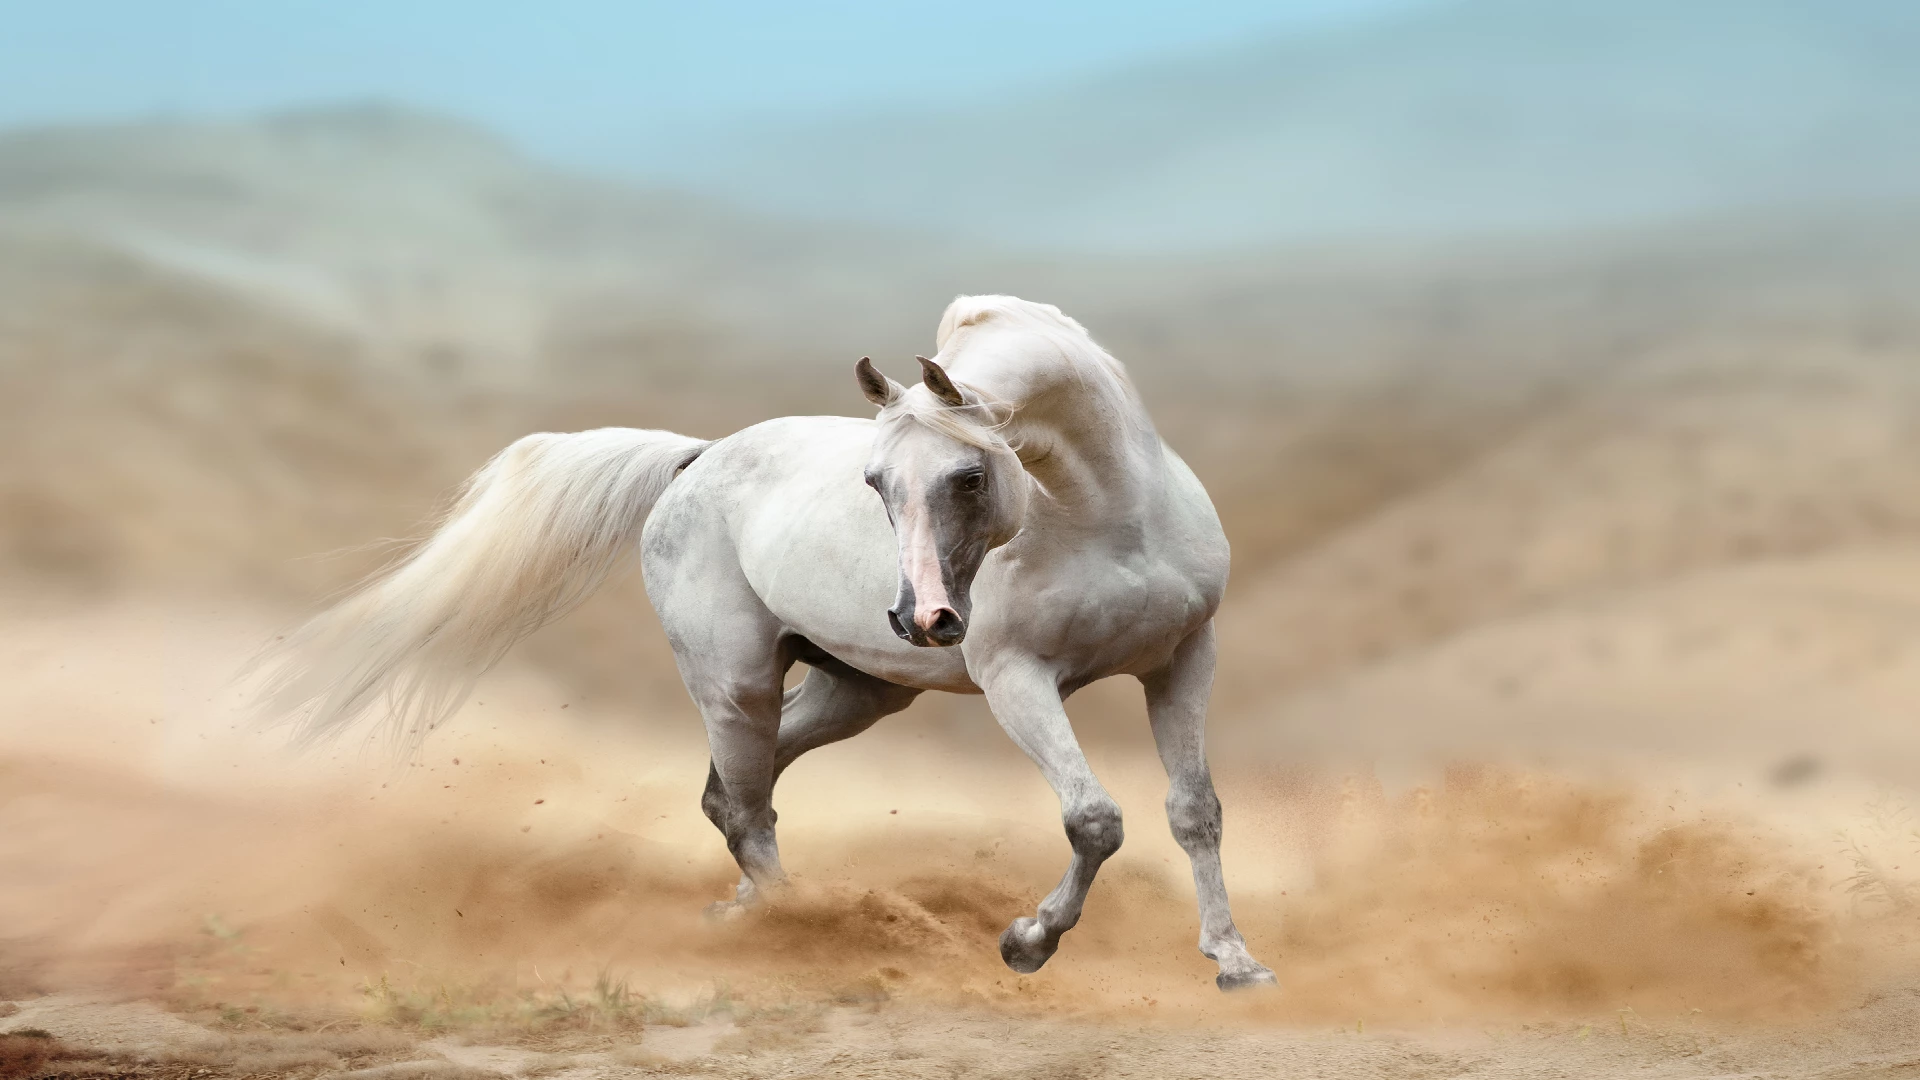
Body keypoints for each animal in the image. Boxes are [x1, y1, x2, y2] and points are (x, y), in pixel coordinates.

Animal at [255, 294, 1274, 983]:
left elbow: (1196, 811)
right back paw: (797, 931)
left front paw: (1234, 961)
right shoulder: (1018, 680)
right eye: (876, 482)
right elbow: (1094, 820)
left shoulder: (1184, 661)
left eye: (969, 477)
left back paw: (750, 911)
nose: (922, 619)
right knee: (745, 802)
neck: (1106, 520)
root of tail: (695, 459)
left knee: (735, 791)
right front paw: (1027, 943)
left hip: (855, 690)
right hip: (736, 681)